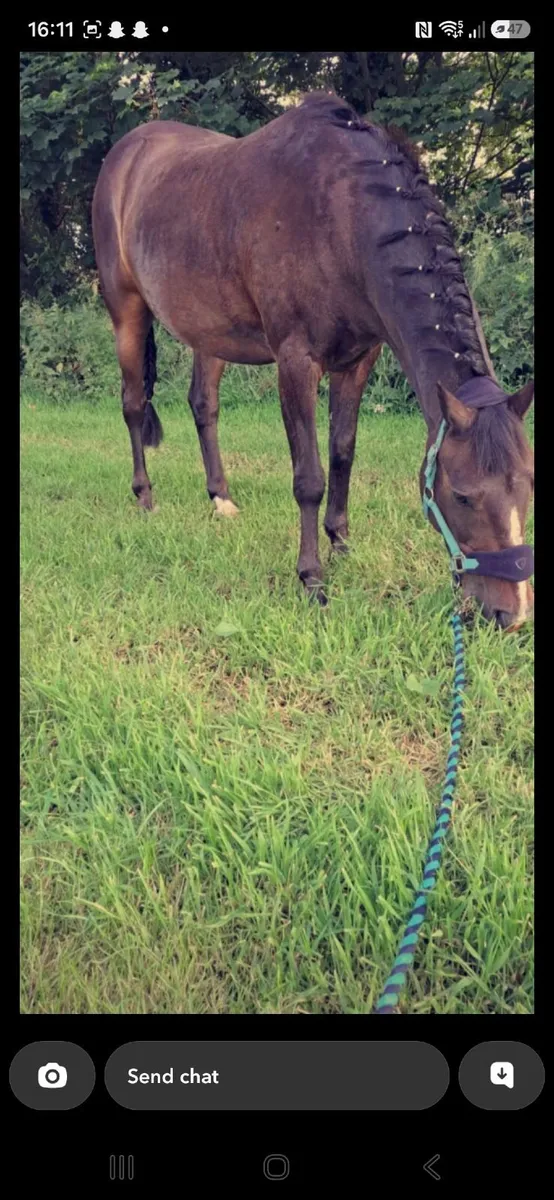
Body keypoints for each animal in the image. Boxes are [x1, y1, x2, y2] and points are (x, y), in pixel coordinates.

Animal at [92, 91, 534, 629]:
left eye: (528, 486)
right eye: (464, 494)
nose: (512, 615)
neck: (342, 217)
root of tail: (124, 154)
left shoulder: (358, 360)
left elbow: (343, 452)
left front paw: (341, 542)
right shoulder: (296, 361)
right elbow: (309, 477)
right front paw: (312, 579)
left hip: (209, 330)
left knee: (203, 405)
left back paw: (221, 498)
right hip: (126, 312)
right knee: (134, 405)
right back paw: (145, 498)